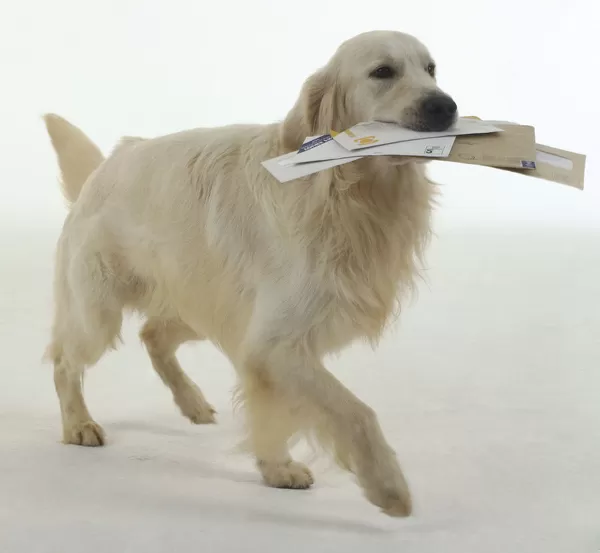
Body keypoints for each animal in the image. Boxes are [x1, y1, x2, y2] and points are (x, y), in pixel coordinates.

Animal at [44, 30, 458, 516]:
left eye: (431, 69)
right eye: (383, 72)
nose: (445, 107)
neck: (343, 191)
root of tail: (106, 164)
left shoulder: (265, 343)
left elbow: (275, 414)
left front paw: (276, 467)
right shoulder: (274, 344)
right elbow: (355, 412)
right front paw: (387, 486)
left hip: (208, 305)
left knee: (153, 334)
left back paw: (192, 402)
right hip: (99, 313)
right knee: (65, 361)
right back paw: (78, 424)